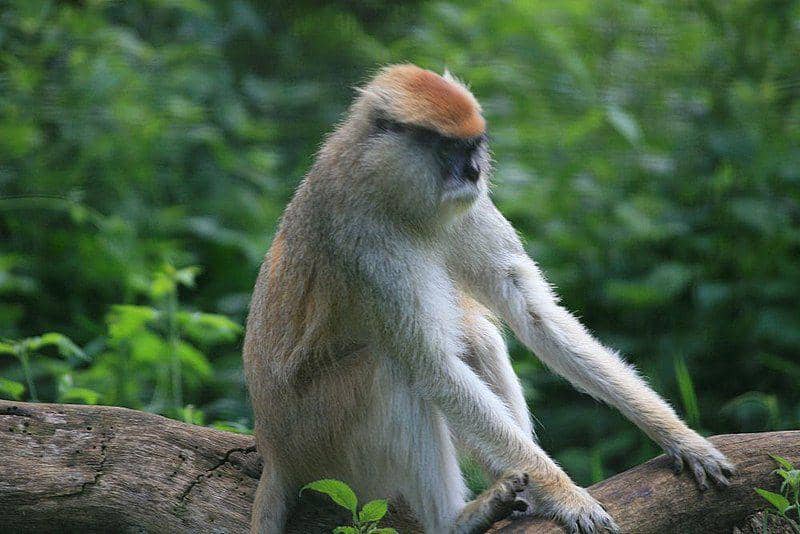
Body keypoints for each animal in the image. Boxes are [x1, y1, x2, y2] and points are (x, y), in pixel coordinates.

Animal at [243, 64, 734, 534]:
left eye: (475, 146)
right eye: (448, 150)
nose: (475, 172)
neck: (385, 183)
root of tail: (273, 449)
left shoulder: (471, 210)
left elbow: (532, 311)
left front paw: (680, 437)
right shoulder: (365, 245)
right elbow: (432, 364)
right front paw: (567, 497)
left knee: (478, 334)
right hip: (319, 439)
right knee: (390, 371)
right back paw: (455, 520)